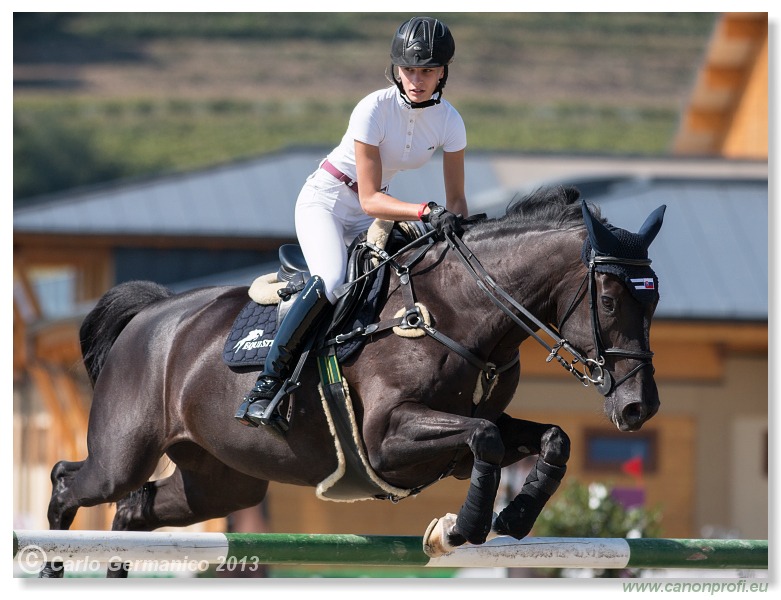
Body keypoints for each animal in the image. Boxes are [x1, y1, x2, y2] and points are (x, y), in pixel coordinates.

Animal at [41, 188, 664, 576]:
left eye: (654, 301)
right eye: (610, 300)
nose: (639, 408)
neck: (454, 311)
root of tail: (153, 312)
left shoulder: (470, 430)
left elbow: (549, 438)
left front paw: (513, 518)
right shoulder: (387, 438)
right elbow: (483, 437)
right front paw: (459, 529)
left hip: (221, 481)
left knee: (134, 510)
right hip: (125, 452)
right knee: (71, 481)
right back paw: (49, 564)